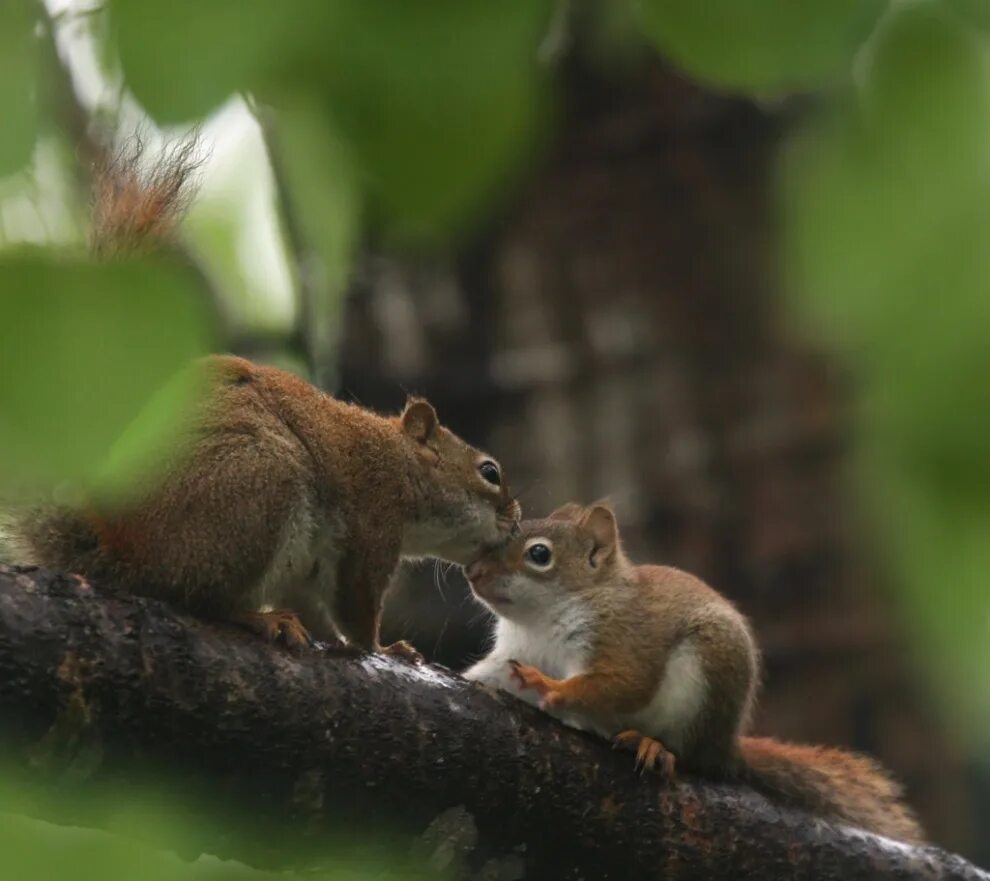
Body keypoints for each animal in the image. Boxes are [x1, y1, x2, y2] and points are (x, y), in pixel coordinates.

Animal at [5, 134, 520, 652]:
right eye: (489, 472)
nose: (517, 518)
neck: (401, 459)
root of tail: (125, 553)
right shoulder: (373, 523)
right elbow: (358, 607)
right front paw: (383, 648)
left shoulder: (308, 568)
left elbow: (317, 605)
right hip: (258, 486)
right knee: (200, 597)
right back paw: (256, 617)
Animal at [462, 502, 928, 840]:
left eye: (539, 554)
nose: (473, 572)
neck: (540, 620)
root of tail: (726, 746)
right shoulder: (512, 651)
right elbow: (491, 673)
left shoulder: (624, 639)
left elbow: (621, 683)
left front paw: (548, 684)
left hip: (705, 678)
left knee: (687, 755)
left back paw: (653, 746)